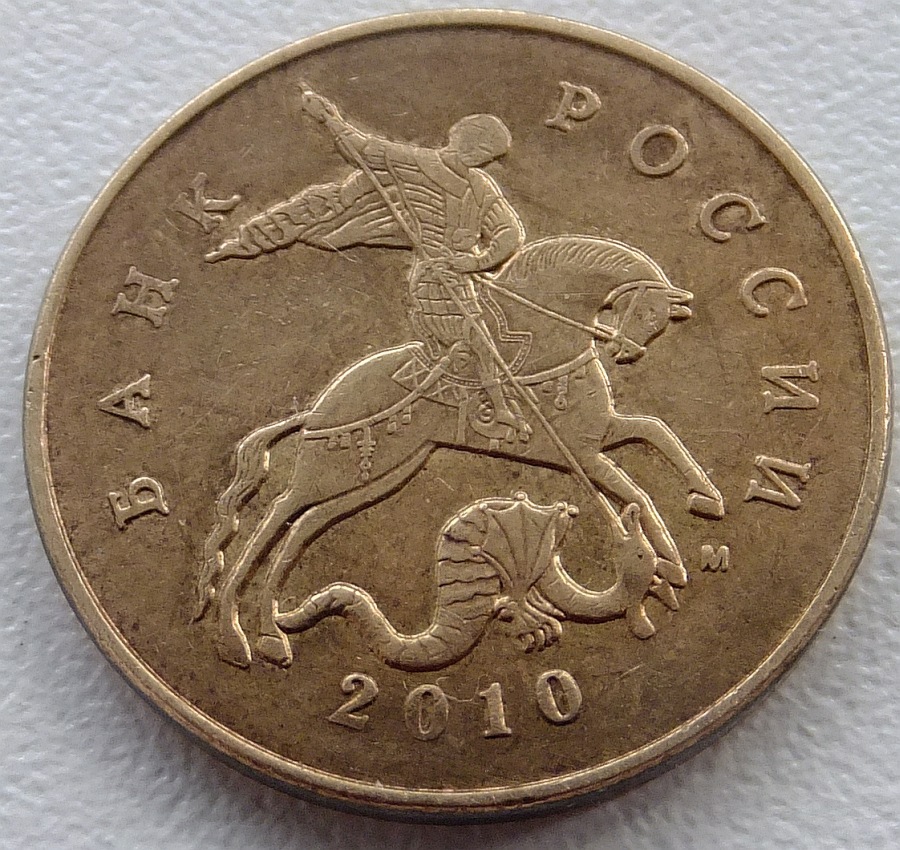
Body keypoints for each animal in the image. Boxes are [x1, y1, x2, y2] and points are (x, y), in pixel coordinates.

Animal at [195, 235, 724, 668]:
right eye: (648, 312)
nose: (628, 354)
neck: (547, 343)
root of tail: (318, 407)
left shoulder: (596, 438)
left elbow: (656, 433)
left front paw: (700, 509)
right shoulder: (580, 451)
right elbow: (635, 487)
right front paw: (670, 560)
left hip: (382, 474)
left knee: (301, 528)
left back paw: (269, 633)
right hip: (335, 467)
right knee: (273, 518)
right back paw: (238, 637)